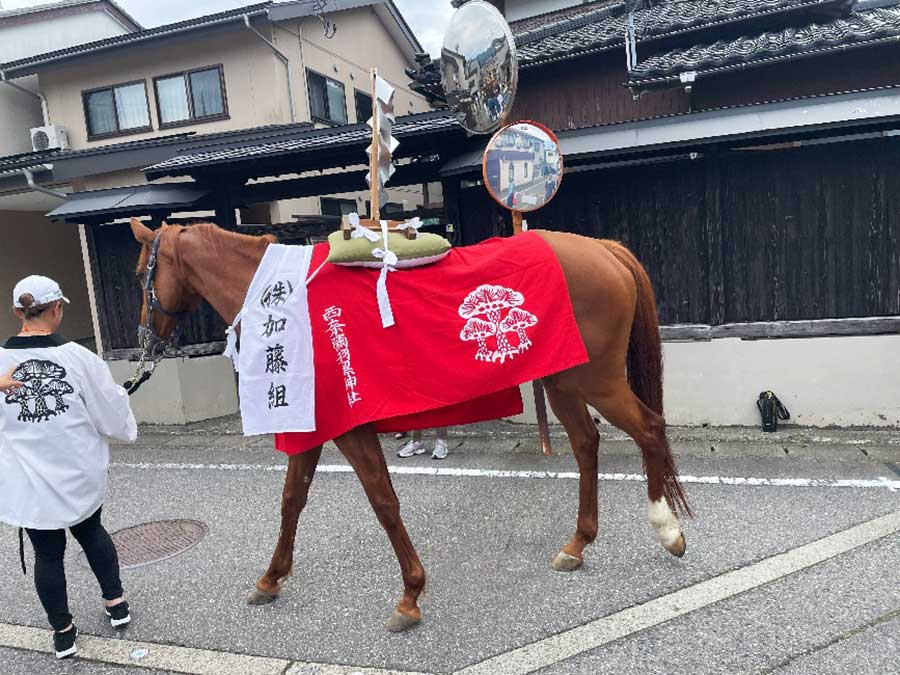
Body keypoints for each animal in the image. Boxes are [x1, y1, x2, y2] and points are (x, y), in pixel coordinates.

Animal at [128, 218, 688, 632]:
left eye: (139, 273)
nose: (145, 340)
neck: (286, 304)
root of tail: (604, 249)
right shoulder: (312, 426)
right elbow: (292, 500)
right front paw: (271, 578)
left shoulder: (351, 427)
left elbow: (383, 502)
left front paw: (410, 594)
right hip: (563, 379)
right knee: (587, 444)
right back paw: (577, 544)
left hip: (596, 379)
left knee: (649, 429)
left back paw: (666, 529)